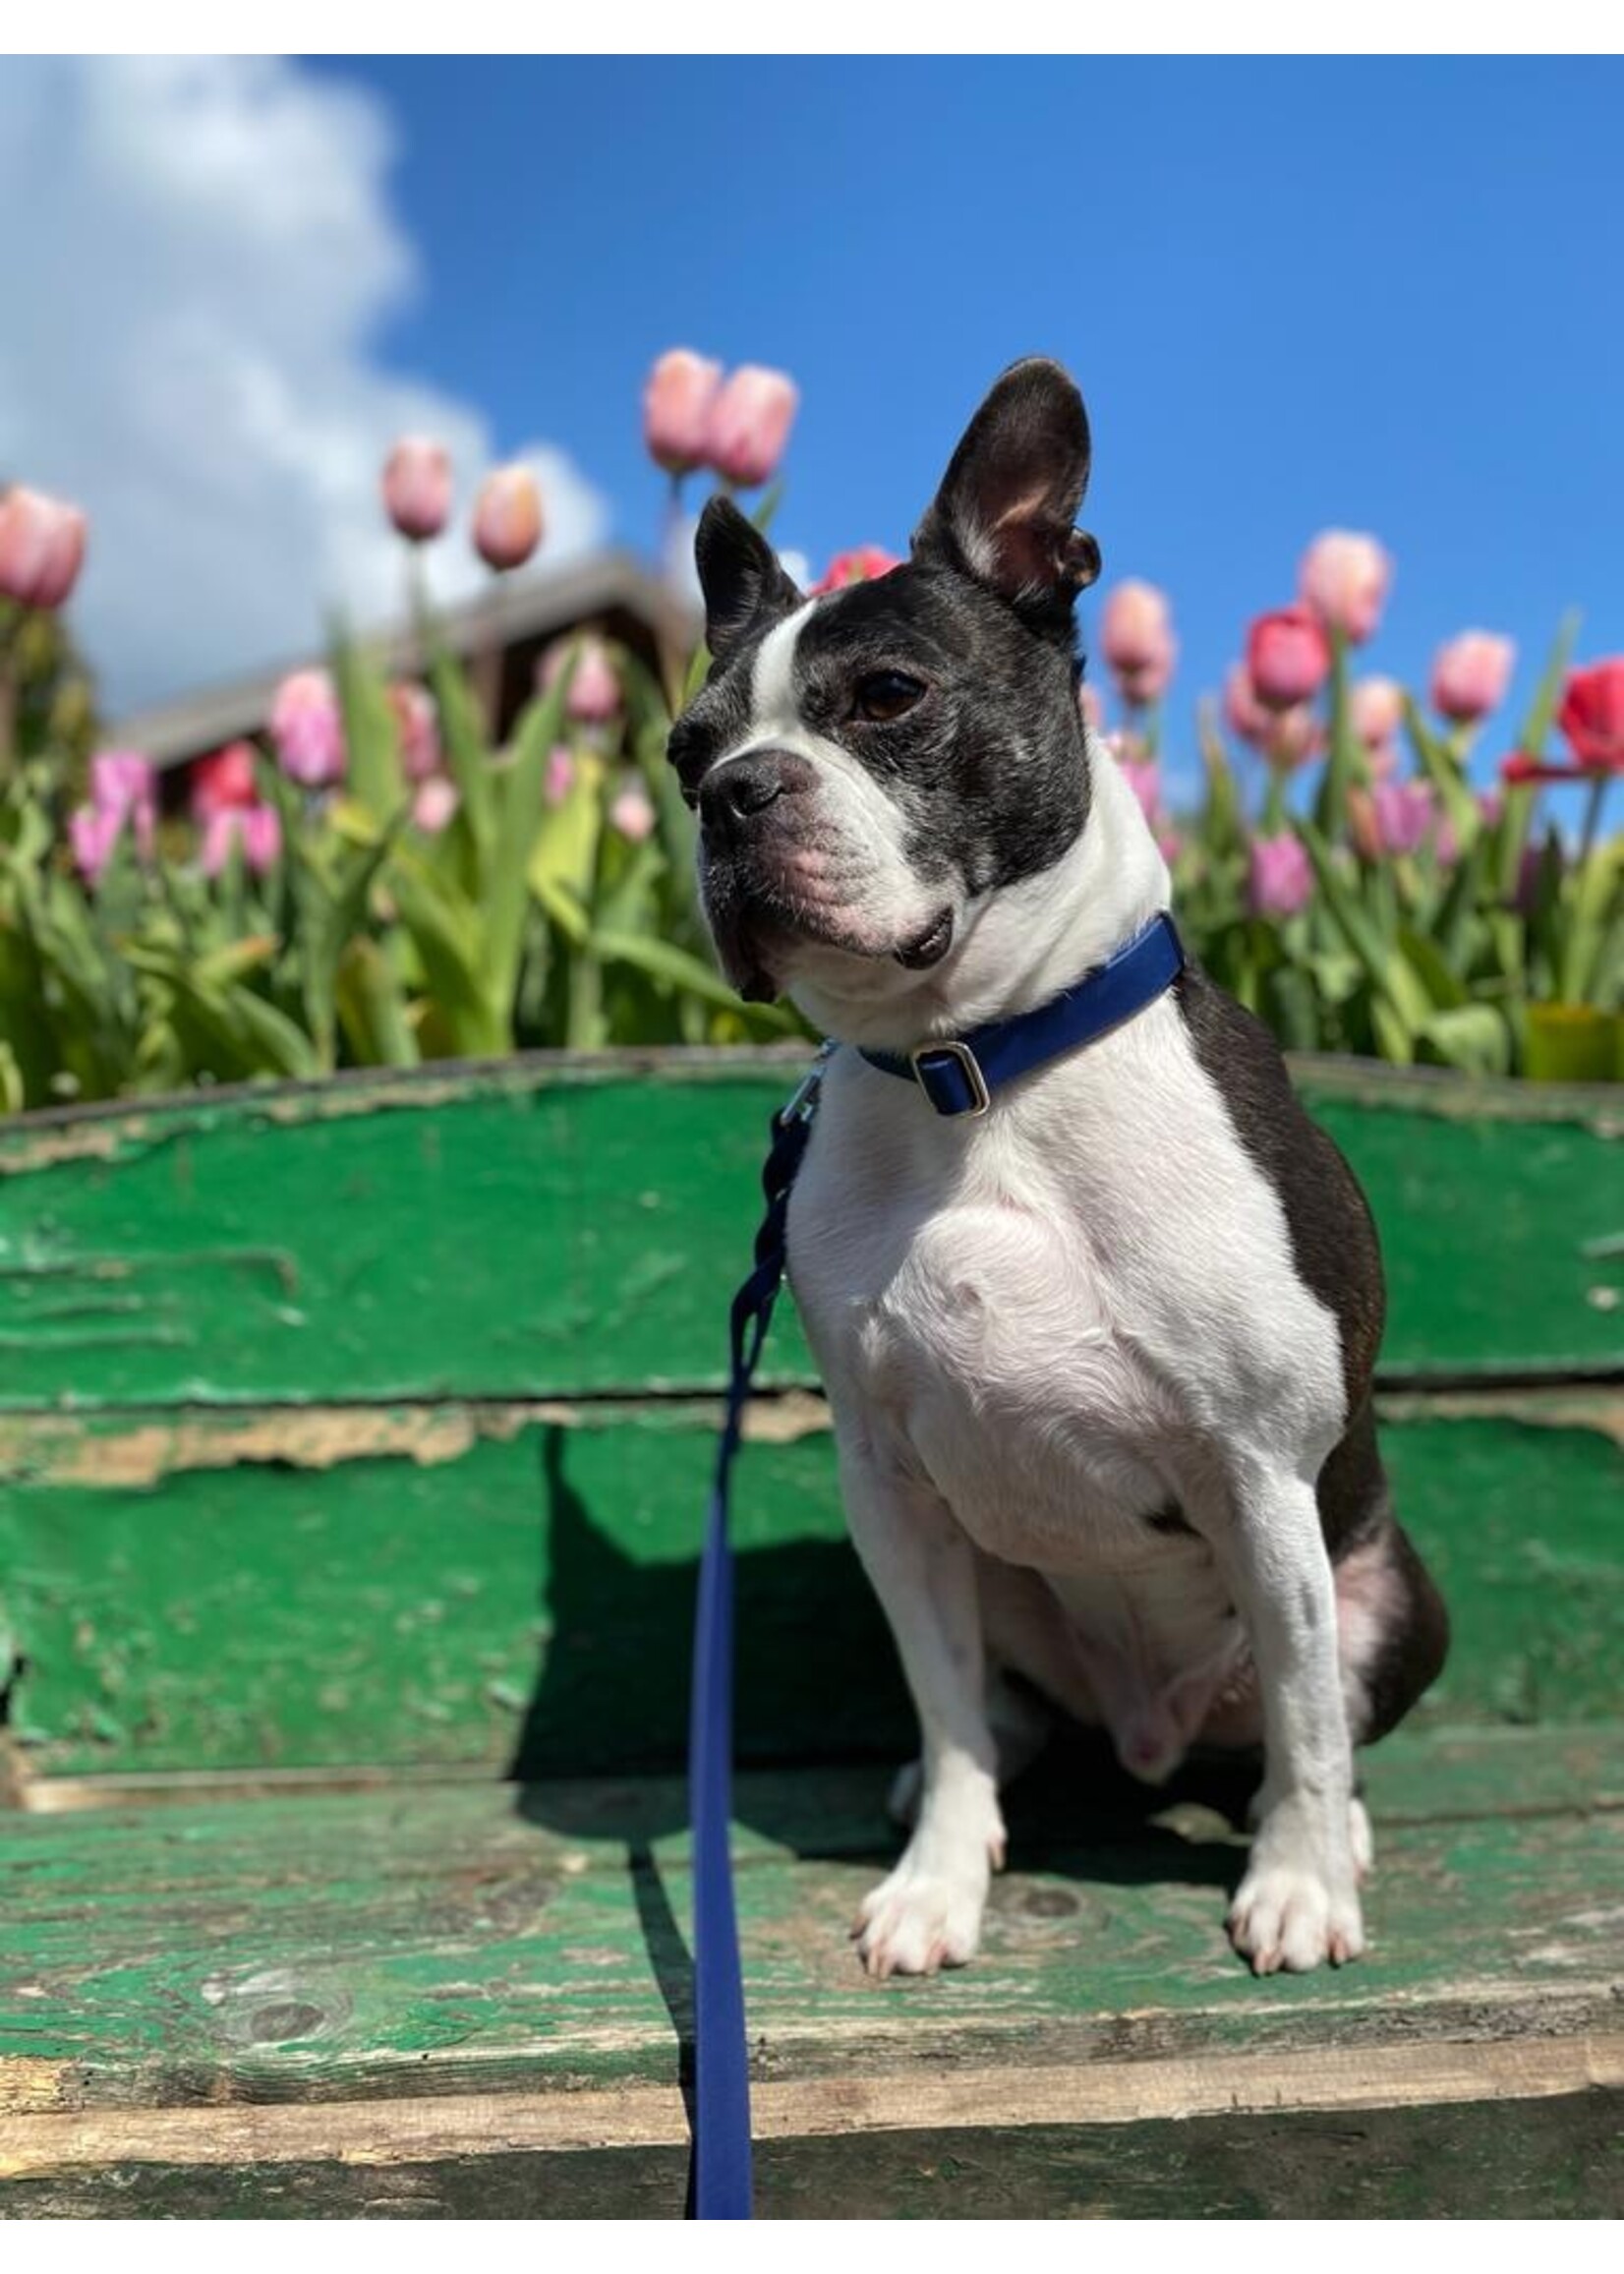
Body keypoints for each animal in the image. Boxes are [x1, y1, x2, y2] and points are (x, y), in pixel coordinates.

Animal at [664, 354, 1446, 1973]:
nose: (736, 793)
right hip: (1000, 1578)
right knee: (1001, 1708)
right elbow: (945, 1704)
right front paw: (937, 1881)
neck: (975, 1074)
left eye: (887, 697)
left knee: (1313, 1713)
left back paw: (1326, 1833)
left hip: (1385, 1585)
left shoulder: (1261, 1473)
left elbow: (1304, 1717)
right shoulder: (890, 1491)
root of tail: (1151, 1734)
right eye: (684, 753)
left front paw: (1296, 1884)